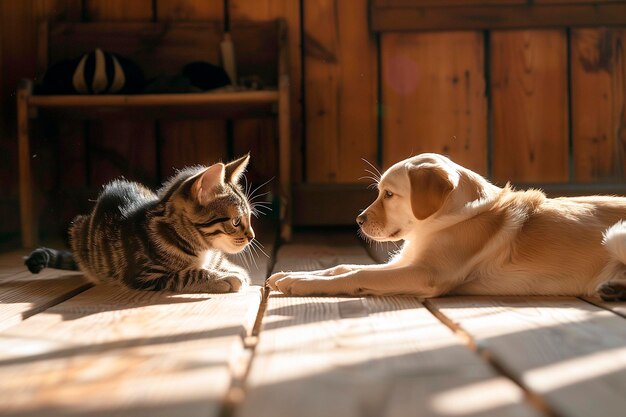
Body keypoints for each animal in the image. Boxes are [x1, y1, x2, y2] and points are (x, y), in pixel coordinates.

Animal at [24, 154, 254, 292]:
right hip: (78, 230)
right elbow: (189, 274)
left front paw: (232, 270)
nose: (251, 237)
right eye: (236, 221)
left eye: (249, 217)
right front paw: (222, 278)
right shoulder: (145, 275)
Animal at [266, 153, 624, 300]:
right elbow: (343, 267)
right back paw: (613, 289)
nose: (359, 220)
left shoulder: (425, 273)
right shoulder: (407, 261)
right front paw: (290, 275)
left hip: (615, 236)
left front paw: (300, 283)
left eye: (389, 194)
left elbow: (357, 276)